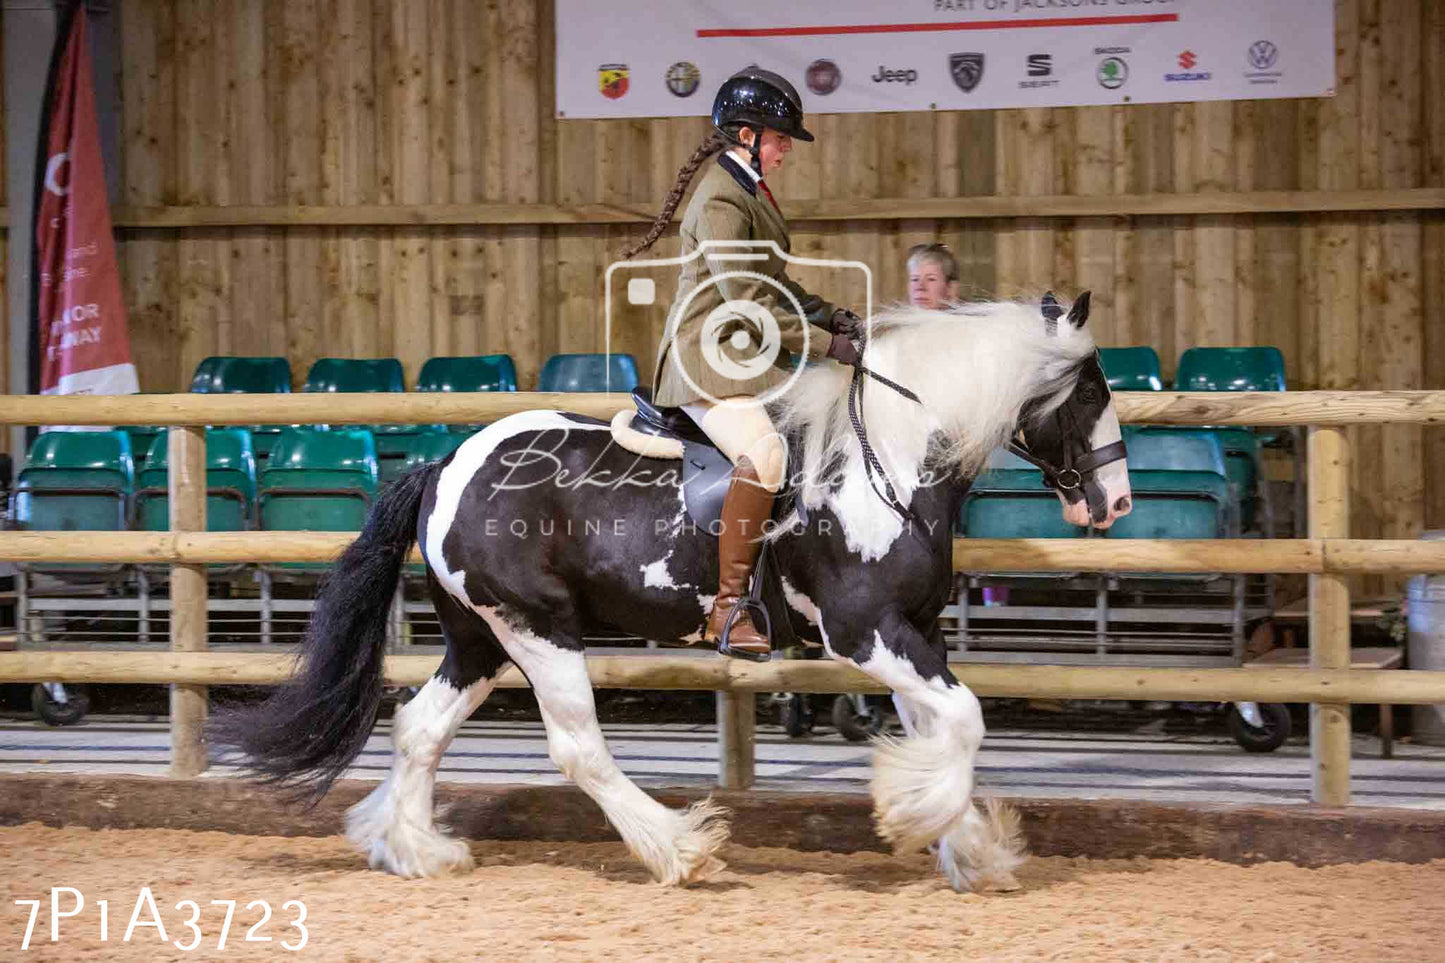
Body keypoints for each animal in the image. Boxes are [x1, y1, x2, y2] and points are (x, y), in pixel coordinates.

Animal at [210, 290, 1127, 890]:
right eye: (1089, 389)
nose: (1114, 501)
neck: (887, 457)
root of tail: (445, 463)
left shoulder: (913, 631)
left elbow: (944, 727)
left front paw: (966, 846)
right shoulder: (865, 628)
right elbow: (964, 719)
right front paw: (916, 819)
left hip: (480, 638)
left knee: (418, 728)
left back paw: (414, 849)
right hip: (539, 629)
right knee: (577, 748)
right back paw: (680, 848)